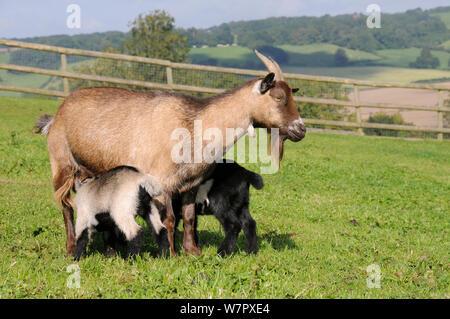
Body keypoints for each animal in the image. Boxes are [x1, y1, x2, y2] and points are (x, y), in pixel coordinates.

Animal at [36, 50, 306, 258]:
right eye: (278, 97)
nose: (301, 129)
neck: (194, 124)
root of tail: (55, 116)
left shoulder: (190, 184)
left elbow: (188, 218)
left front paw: (192, 251)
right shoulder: (161, 182)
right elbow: (168, 219)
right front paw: (172, 254)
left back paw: (110, 250)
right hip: (61, 164)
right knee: (67, 207)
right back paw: (71, 247)